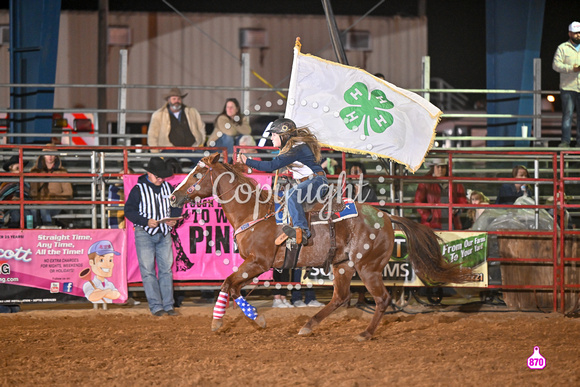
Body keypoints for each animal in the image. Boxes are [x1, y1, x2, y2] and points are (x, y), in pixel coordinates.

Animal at [170, 153, 474, 342]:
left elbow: (229, 285)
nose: (173, 195)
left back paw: (364, 334)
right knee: (341, 297)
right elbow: (230, 286)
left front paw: (250, 320)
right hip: (343, 265)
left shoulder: (258, 263)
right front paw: (227, 321)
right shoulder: (253, 265)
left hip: (368, 267)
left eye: (197, 173)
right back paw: (308, 326)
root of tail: (387, 217)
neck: (254, 212)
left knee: (382, 299)